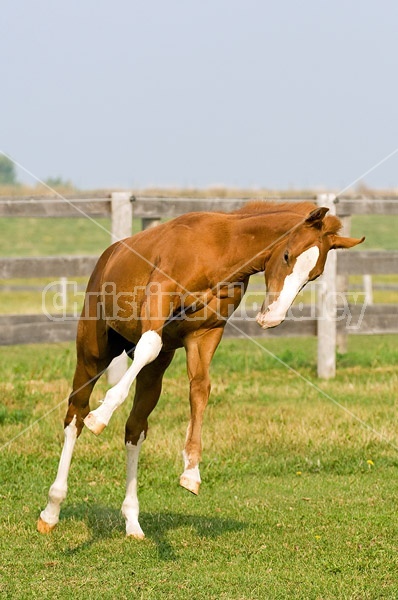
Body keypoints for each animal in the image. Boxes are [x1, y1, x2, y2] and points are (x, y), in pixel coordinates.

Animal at [37, 203, 364, 540]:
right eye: (287, 254)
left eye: (314, 275)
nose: (271, 318)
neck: (220, 251)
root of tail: (109, 255)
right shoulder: (158, 300)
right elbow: (150, 344)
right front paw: (101, 416)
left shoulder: (205, 334)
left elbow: (200, 388)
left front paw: (191, 473)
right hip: (92, 353)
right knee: (75, 414)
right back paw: (51, 509)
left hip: (156, 372)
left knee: (134, 429)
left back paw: (132, 521)